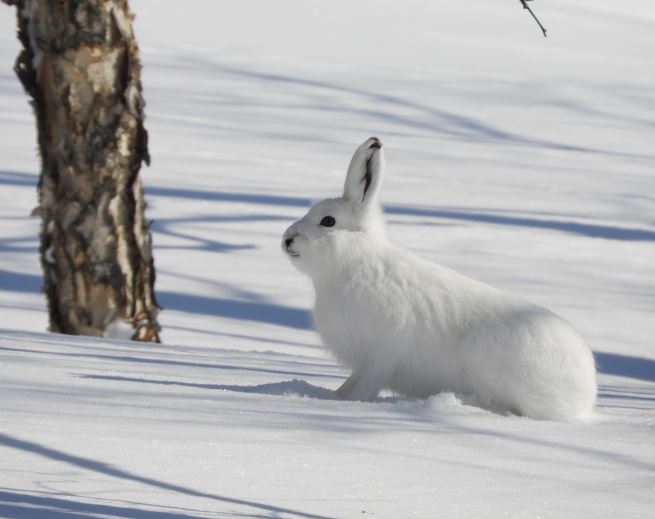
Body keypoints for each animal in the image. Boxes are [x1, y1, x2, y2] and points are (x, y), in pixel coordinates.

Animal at [282, 137, 597, 420]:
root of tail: (585, 392)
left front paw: (348, 402)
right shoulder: (364, 361)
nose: (287, 240)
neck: (353, 263)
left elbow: (367, 385)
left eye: (328, 221)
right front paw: (334, 396)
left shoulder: (382, 355)